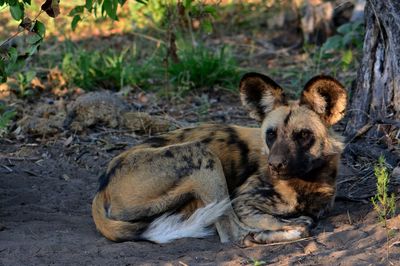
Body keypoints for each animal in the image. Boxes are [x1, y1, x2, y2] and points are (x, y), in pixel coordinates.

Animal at [91, 72, 346, 245]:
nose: (274, 165)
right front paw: (290, 226)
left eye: (303, 135)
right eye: (271, 134)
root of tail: (102, 186)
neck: (309, 182)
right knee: (237, 235)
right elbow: (288, 221)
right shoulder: (242, 202)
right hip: (204, 157)